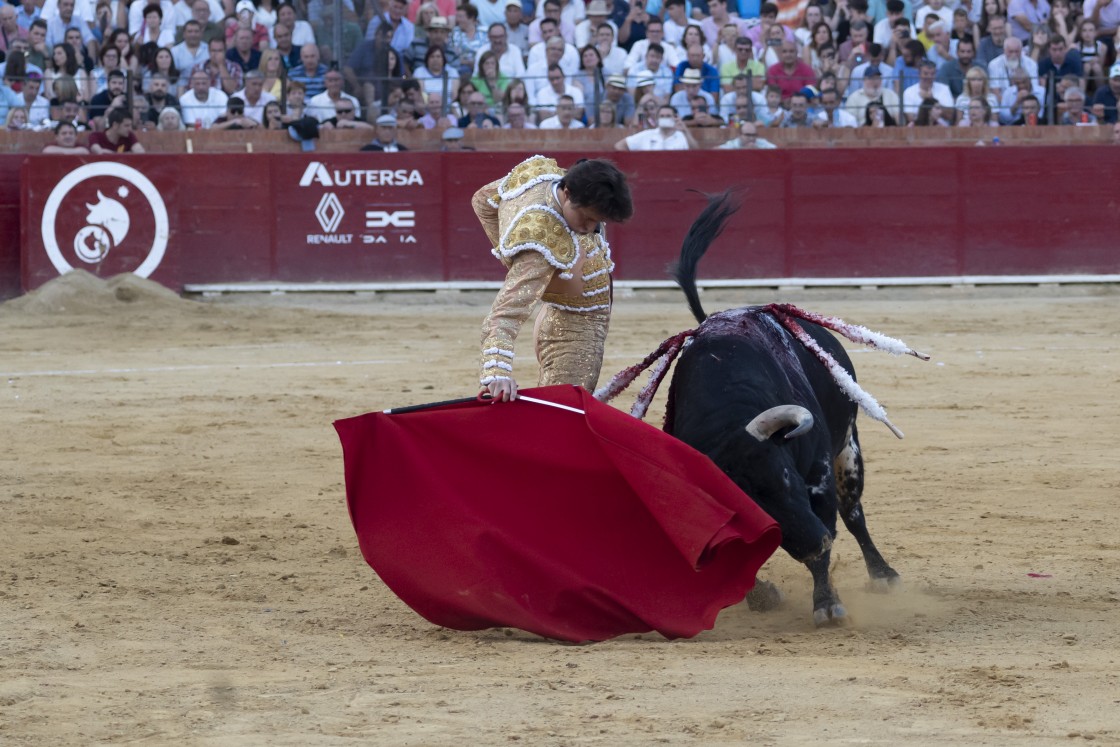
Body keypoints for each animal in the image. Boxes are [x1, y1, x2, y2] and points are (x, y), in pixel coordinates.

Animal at [600, 192, 922, 627]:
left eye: (785, 477)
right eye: (745, 510)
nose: (815, 540)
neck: (726, 412)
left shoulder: (818, 475)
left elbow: (832, 525)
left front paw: (827, 604)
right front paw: (763, 595)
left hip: (848, 448)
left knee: (853, 513)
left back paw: (883, 575)